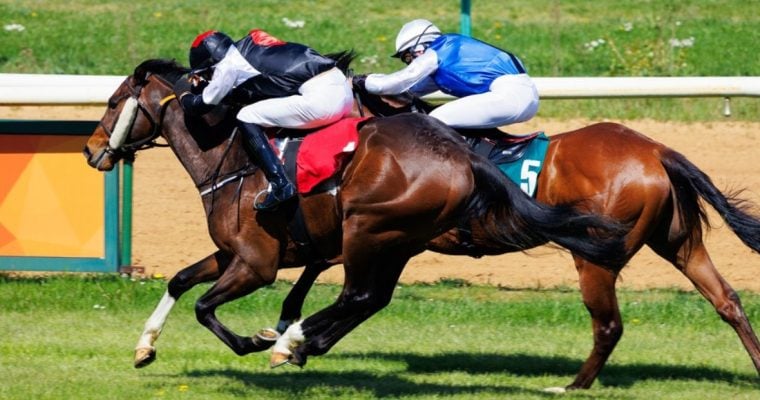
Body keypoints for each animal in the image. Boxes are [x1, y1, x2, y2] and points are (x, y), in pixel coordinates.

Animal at [82, 58, 628, 372]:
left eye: (112, 101)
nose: (90, 151)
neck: (232, 154)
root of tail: (461, 155)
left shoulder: (257, 264)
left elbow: (204, 306)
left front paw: (260, 339)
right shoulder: (233, 253)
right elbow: (179, 281)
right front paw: (145, 346)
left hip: (369, 229)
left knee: (359, 295)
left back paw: (293, 342)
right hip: (398, 239)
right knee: (371, 298)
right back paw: (301, 342)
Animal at [267, 83, 760, 390]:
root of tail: (657, 150)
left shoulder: (390, 232)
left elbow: (330, 266)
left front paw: (290, 331)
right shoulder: (398, 237)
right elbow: (348, 282)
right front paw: (296, 334)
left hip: (597, 255)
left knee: (608, 324)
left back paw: (572, 385)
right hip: (678, 242)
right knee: (727, 300)